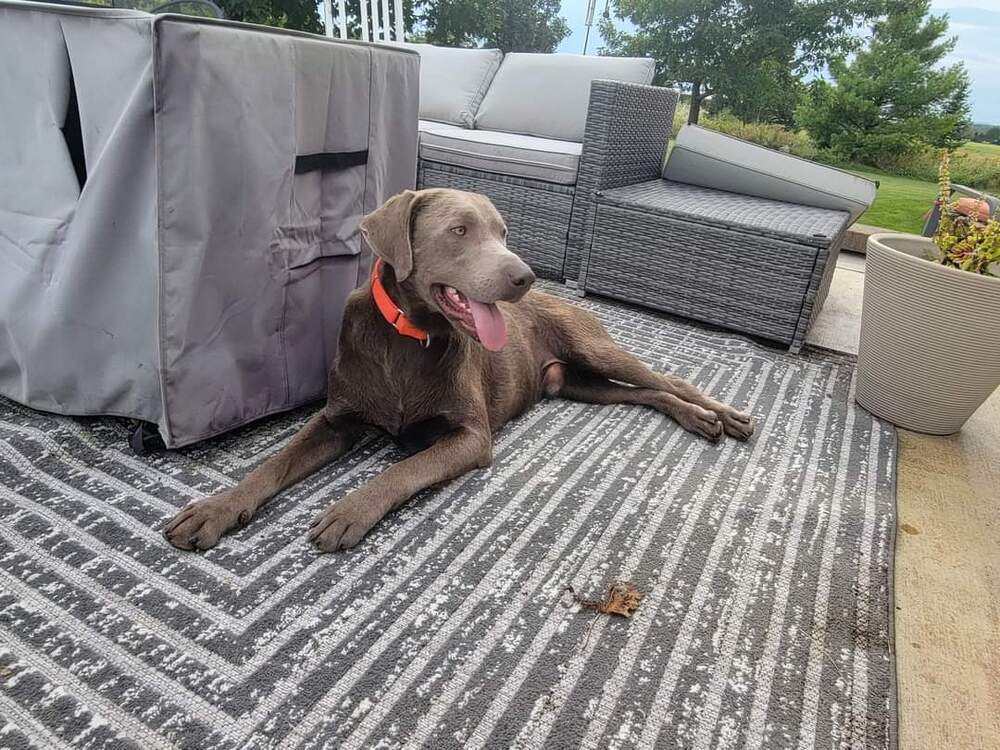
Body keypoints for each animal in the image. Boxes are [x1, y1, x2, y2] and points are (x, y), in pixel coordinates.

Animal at [162, 188, 752, 552]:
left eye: (503, 232)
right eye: (460, 230)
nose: (525, 276)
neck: (407, 339)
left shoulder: (470, 436)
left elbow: (400, 470)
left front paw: (350, 509)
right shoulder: (336, 419)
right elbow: (272, 465)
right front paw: (215, 510)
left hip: (594, 350)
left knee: (668, 380)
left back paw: (721, 415)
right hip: (577, 383)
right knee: (644, 393)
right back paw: (701, 419)